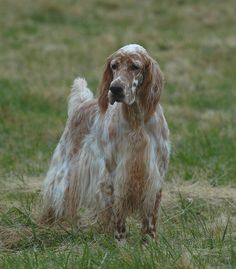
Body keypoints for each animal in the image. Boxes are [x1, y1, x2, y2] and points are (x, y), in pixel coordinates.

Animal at [40, 44, 170, 239]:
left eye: (135, 66)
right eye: (114, 66)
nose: (115, 89)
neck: (136, 121)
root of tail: (81, 104)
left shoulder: (155, 175)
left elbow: (150, 221)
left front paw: (149, 243)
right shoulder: (113, 176)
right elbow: (119, 218)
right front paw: (120, 243)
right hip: (65, 170)